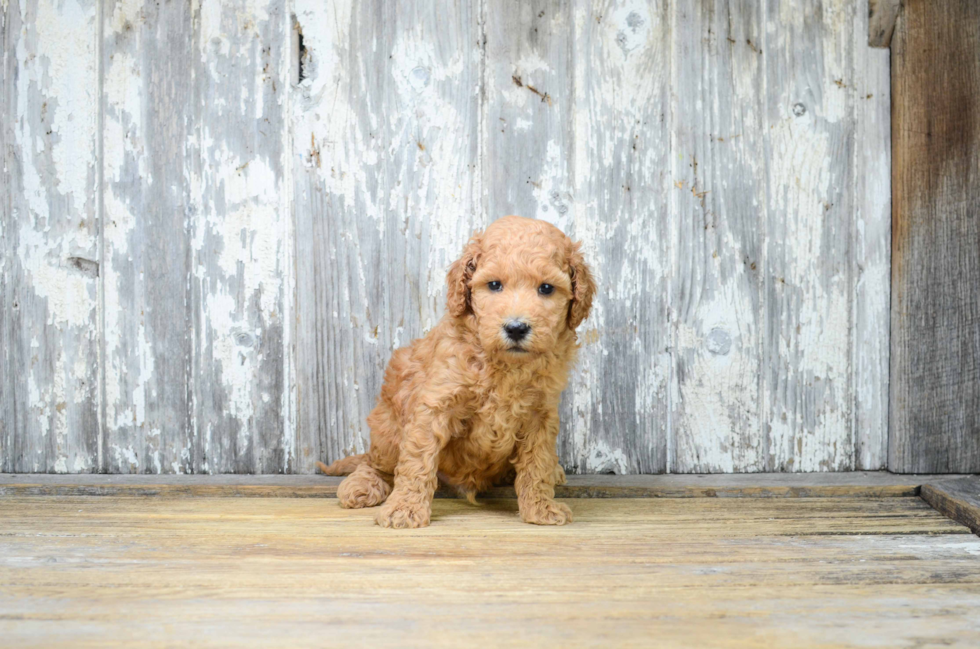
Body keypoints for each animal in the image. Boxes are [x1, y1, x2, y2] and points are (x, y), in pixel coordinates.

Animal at [322, 215, 592, 528]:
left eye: (546, 288)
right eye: (494, 285)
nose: (516, 328)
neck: (504, 364)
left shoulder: (540, 413)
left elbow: (537, 462)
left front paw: (540, 508)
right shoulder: (435, 404)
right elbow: (417, 461)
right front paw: (405, 509)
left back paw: (554, 472)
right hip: (387, 428)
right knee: (376, 462)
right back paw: (363, 484)